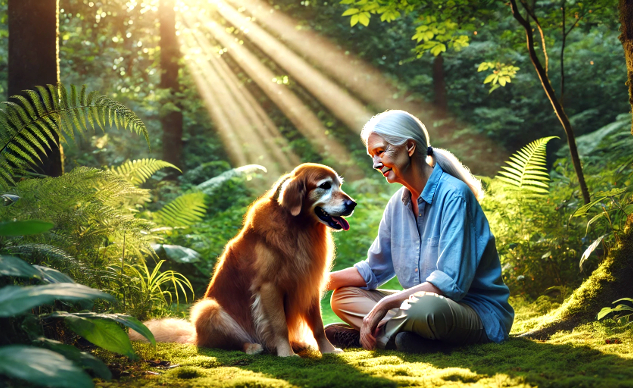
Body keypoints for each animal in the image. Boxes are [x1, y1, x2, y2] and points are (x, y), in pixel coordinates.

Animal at [133, 162, 356, 356]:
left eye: (339, 185)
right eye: (325, 186)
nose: (352, 204)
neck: (298, 228)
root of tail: (195, 336)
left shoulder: (309, 283)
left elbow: (318, 326)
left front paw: (329, 350)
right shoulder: (269, 286)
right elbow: (280, 325)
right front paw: (286, 354)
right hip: (208, 308)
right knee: (229, 342)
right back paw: (253, 347)